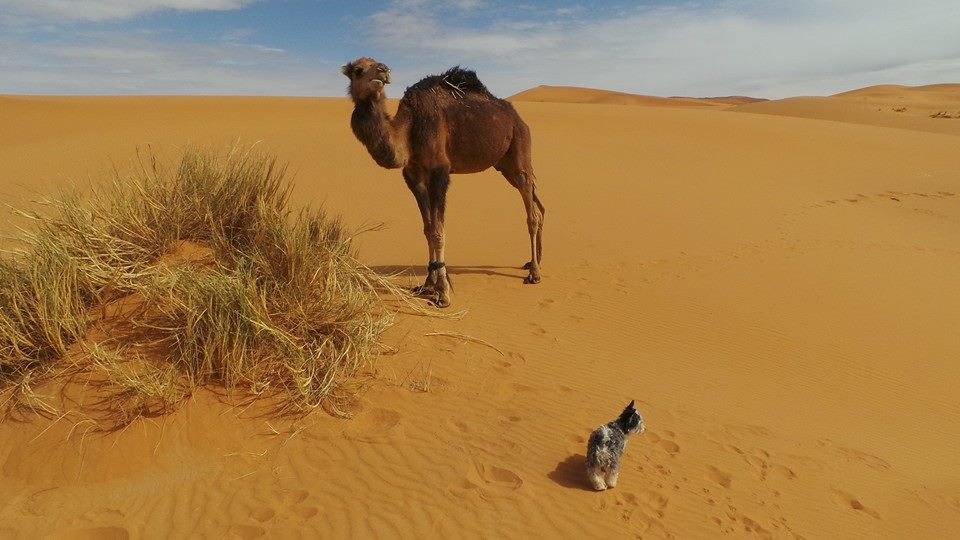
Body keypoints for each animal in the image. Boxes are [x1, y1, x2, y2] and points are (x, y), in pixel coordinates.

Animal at [342, 57, 545, 308]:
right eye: (358, 70)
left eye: (378, 65)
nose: (383, 71)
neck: (409, 129)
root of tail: (519, 119)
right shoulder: (413, 174)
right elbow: (428, 229)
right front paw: (428, 284)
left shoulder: (440, 171)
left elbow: (438, 231)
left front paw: (443, 293)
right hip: (503, 164)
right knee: (536, 201)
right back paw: (532, 262)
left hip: (519, 148)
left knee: (531, 211)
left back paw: (534, 273)